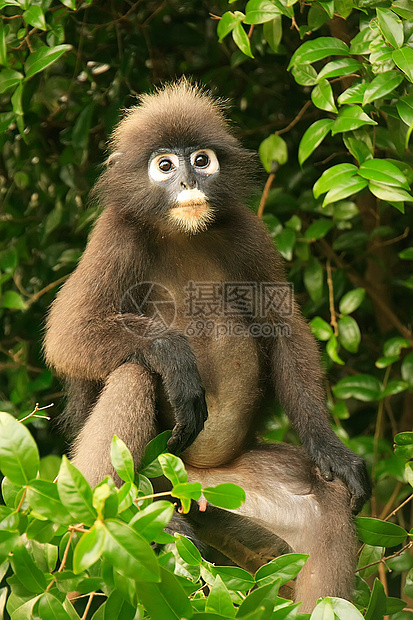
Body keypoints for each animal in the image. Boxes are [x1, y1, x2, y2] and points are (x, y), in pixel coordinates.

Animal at [45, 80, 370, 608]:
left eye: (201, 160)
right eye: (164, 166)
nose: (187, 184)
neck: (183, 232)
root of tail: (184, 483)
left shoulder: (247, 229)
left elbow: (283, 328)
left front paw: (332, 450)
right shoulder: (115, 235)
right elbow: (68, 335)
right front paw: (177, 360)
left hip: (228, 491)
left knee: (327, 507)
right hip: (158, 474)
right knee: (134, 369)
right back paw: (117, 521)